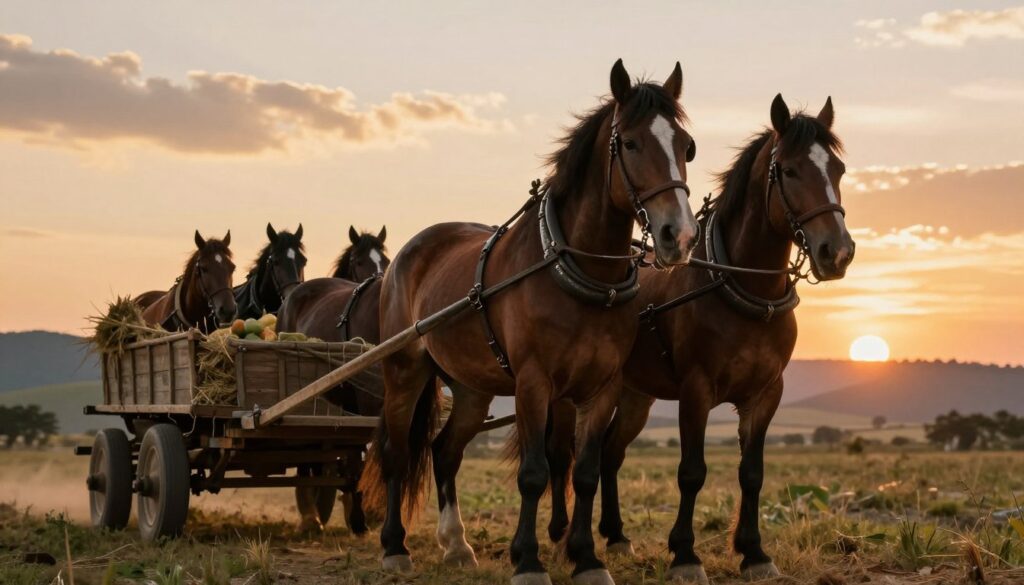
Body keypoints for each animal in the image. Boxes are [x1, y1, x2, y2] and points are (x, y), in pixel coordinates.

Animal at [359, 60, 699, 585]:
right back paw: (395, 546)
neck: (579, 271)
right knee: (397, 451)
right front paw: (529, 559)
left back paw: (457, 544)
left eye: (686, 145)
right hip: (405, 370)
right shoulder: (534, 383)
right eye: (631, 143)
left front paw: (587, 558)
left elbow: (585, 471)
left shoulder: (602, 386)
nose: (677, 236)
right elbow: (535, 473)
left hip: (473, 387)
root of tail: (406, 255)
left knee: (445, 450)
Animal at [548, 94, 855, 584]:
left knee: (611, 453)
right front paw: (685, 554)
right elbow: (691, 471)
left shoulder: (766, 393)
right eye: (789, 171)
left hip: (634, 395)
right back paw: (562, 535)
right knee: (563, 456)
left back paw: (615, 535)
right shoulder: (696, 390)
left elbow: (752, 473)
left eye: (838, 169)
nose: (838, 252)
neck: (741, 286)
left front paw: (754, 551)